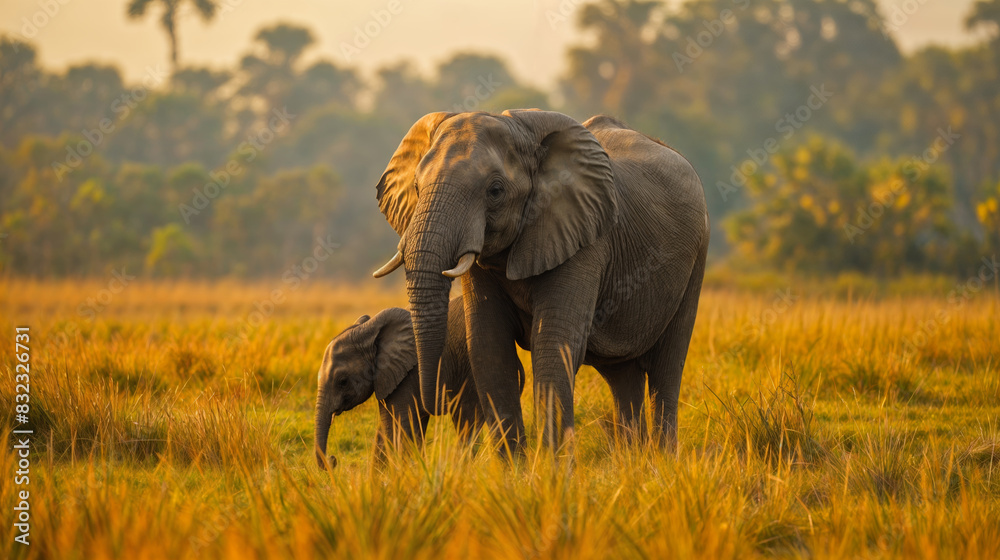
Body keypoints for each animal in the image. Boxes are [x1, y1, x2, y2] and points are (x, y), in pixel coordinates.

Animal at [314, 298, 517, 468]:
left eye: (342, 382)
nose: (333, 459)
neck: (370, 331)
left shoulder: (408, 374)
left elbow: (400, 429)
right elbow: (387, 429)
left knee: (466, 420)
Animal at [372, 110, 709, 455]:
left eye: (495, 191)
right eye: (416, 186)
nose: (434, 404)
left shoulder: (584, 237)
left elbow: (553, 345)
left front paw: (551, 468)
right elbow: (488, 348)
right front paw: (516, 468)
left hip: (698, 253)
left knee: (667, 367)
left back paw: (663, 458)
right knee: (622, 375)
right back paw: (632, 458)